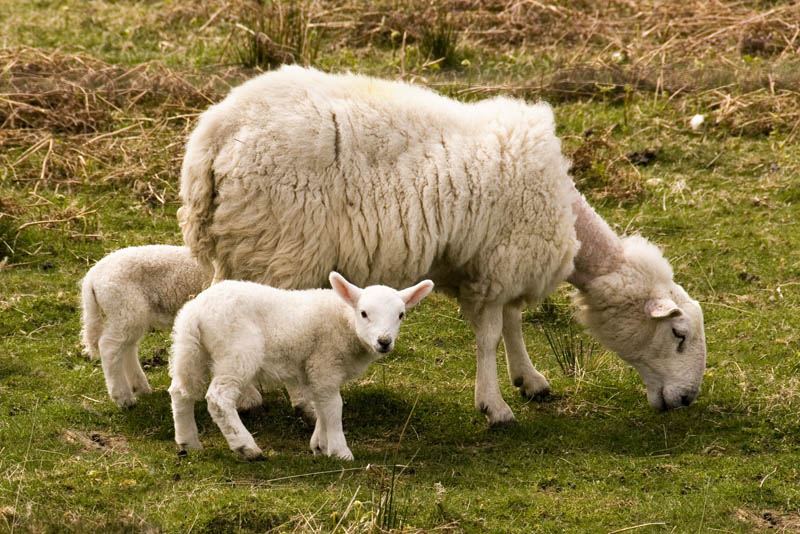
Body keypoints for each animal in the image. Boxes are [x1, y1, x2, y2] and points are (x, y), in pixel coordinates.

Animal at [80, 245, 211, 408]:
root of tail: (92, 276)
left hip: (129, 314)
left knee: (126, 348)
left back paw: (139, 387)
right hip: (124, 307)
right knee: (109, 347)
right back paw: (123, 397)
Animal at [168, 272, 434, 460]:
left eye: (401, 315)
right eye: (364, 313)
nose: (384, 342)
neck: (344, 321)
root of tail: (195, 312)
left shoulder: (312, 369)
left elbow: (320, 405)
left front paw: (320, 445)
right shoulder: (325, 362)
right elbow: (333, 405)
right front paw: (340, 451)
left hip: (192, 349)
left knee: (180, 392)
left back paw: (188, 442)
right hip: (237, 350)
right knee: (218, 398)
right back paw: (246, 447)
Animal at [178, 66, 707, 425]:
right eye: (678, 335)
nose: (687, 400)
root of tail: (213, 134)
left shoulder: (495, 262)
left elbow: (513, 323)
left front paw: (529, 380)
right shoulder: (500, 262)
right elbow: (489, 335)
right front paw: (494, 406)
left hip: (240, 239)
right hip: (278, 242)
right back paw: (288, 401)